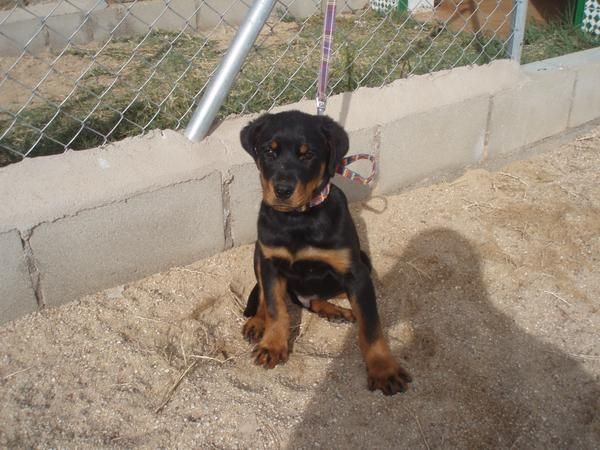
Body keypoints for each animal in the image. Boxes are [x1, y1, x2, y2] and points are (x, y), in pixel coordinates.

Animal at [240, 110, 412, 396]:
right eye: (269, 151)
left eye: (308, 154)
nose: (282, 190)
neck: (298, 219)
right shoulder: (270, 262)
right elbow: (276, 307)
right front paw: (273, 345)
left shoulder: (355, 274)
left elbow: (371, 325)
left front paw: (383, 369)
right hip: (257, 253)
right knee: (270, 294)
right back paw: (258, 321)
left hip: (362, 261)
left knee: (316, 299)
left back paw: (336, 311)